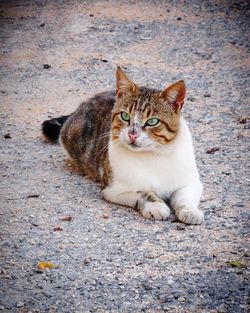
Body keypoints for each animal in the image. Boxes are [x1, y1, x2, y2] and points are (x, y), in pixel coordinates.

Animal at [42, 66, 204, 223]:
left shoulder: (191, 183)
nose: (132, 134)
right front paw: (155, 205)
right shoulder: (113, 190)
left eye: (152, 121)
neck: (153, 154)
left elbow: (185, 197)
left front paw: (189, 210)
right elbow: (143, 191)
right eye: (125, 116)